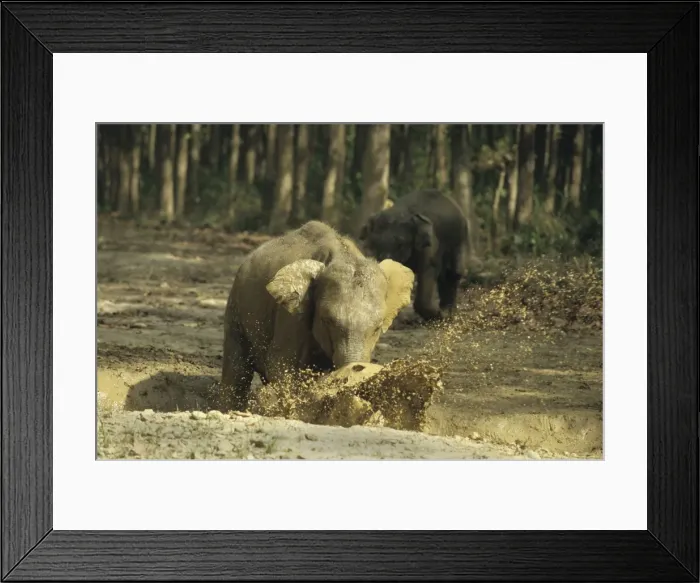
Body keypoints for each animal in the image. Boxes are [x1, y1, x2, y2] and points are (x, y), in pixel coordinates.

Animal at [221, 220, 415, 411]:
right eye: (327, 320)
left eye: (377, 328)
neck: (343, 254)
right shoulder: (290, 315)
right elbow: (281, 363)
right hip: (236, 306)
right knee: (237, 367)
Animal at [359, 189, 469, 321]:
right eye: (372, 243)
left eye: (400, 244)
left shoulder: (430, 245)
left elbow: (428, 270)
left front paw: (436, 315)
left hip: (461, 237)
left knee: (453, 272)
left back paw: (446, 313)